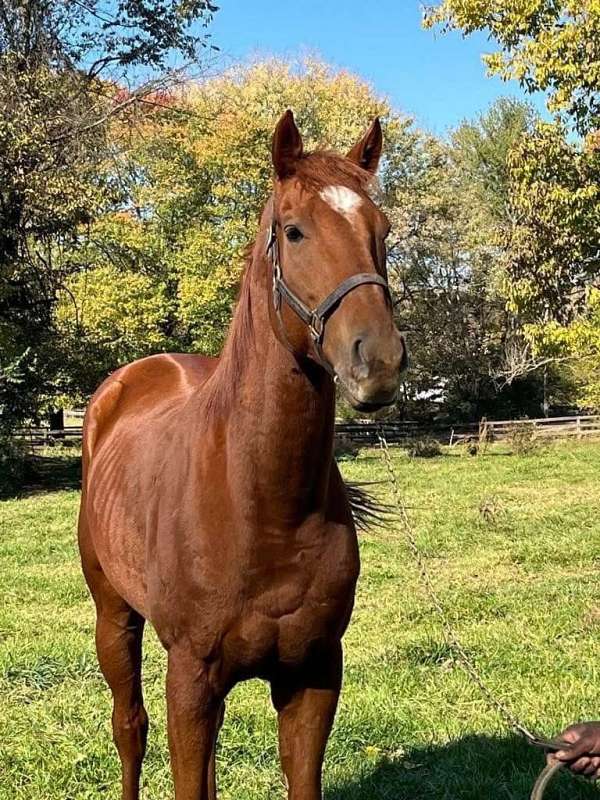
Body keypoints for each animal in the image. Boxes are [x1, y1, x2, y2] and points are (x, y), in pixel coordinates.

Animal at [79, 109, 406, 796]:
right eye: (293, 231)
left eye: (382, 230)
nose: (379, 361)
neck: (259, 505)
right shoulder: (190, 678)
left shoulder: (313, 674)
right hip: (114, 616)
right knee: (129, 726)